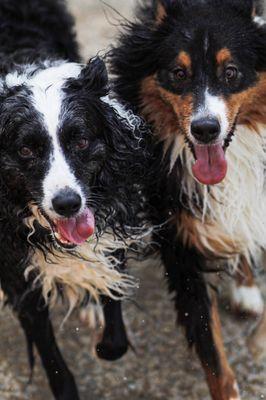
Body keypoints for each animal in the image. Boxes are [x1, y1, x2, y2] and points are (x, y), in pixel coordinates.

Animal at [0, 1, 150, 398]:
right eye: (26, 150)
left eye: (80, 141)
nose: (67, 204)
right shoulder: (17, 269)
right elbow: (46, 345)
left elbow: (113, 325)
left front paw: (105, 331)